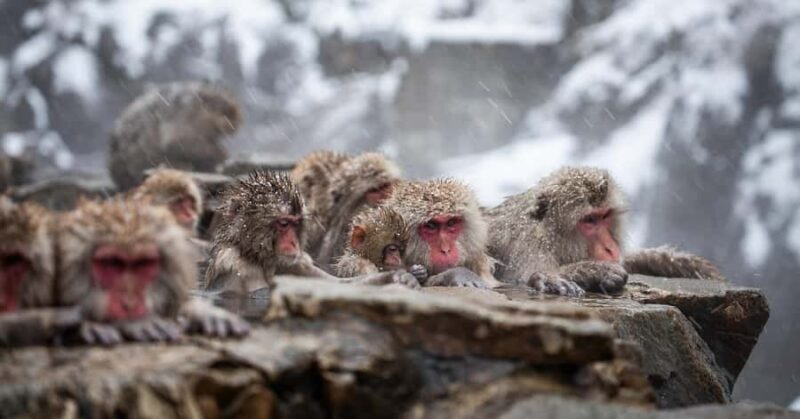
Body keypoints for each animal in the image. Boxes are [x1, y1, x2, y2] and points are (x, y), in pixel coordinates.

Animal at [204, 171, 419, 295]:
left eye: (296, 223)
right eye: (283, 223)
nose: (294, 243)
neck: (260, 259)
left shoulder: (295, 263)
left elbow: (338, 285)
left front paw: (400, 277)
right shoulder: (233, 267)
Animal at [486, 166, 724, 296]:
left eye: (605, 215)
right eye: (590, 220)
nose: (611, 248)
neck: (548, 234)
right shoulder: (526, 247)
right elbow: (519, 278)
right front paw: (592, 272)